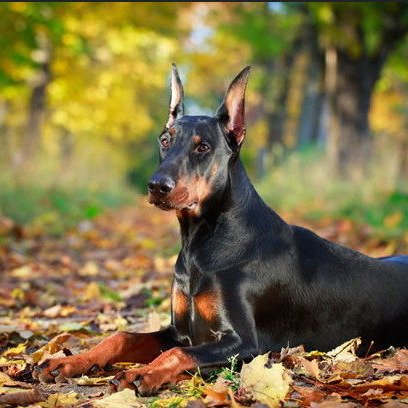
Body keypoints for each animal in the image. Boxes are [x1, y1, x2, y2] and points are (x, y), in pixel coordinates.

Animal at [33, 64, 408, 396]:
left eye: (203, 146)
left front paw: (143, 373)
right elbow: (121, 337)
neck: (201, 243)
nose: (157, 186)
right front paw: (69, 362)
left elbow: (178, 354)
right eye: (165, 140)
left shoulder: (245, 343)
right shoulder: (179, 330)